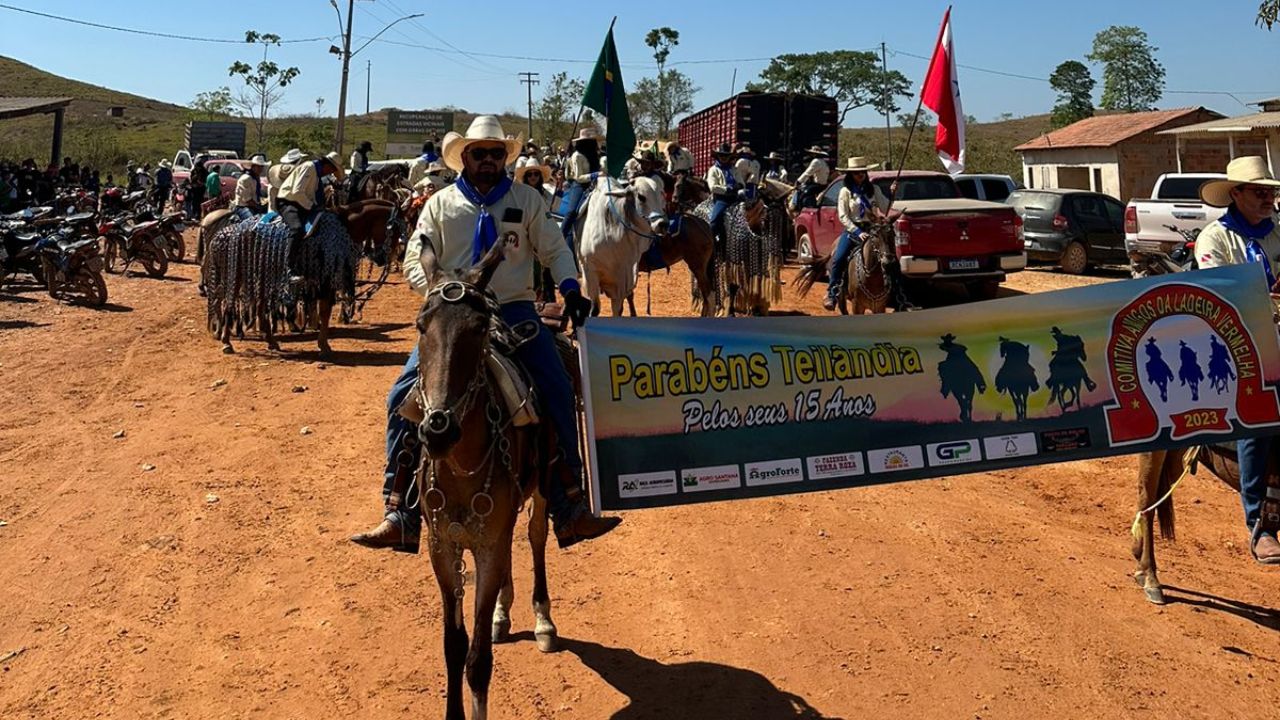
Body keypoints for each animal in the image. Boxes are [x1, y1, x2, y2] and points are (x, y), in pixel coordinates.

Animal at [412, 239, 558, 717]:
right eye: (421, 326)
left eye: (477, 329)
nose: (438, 429)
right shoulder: (443, 547)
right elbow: (453, 646)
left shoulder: (489, 544)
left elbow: (477, 661)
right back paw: (501, 613)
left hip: (542, 488)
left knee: (534, 536)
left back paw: (542, 618)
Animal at [576, 174, 665, 313]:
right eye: (641, 196)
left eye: (661, 194)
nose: (662, 224)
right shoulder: (589, 273)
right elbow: (594, 309)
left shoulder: (622, 281)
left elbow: (618, 310)